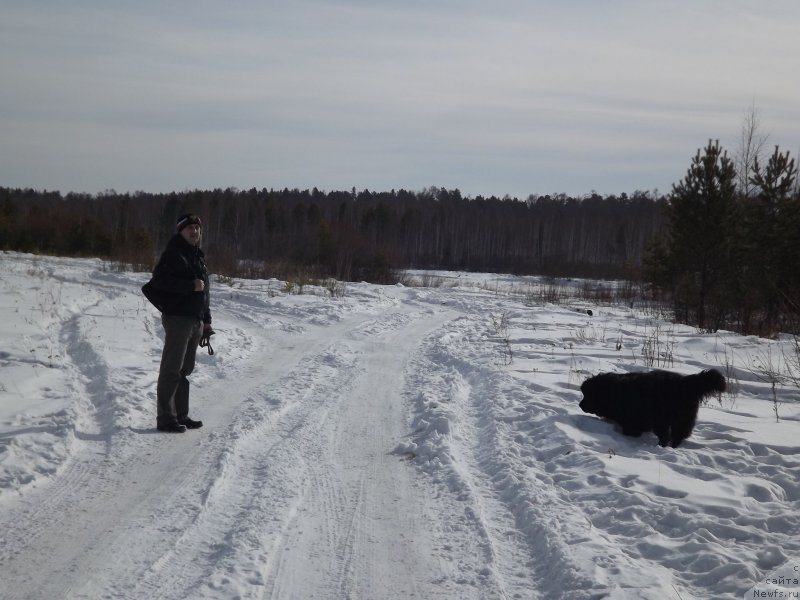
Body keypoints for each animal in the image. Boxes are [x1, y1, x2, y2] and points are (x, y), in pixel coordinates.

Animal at [580, 368, 724, 448]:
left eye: (587, 395)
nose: (580, 405)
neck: (610, 391)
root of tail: (685, 383)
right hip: (682, 419)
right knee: (679, 434)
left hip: (664, 420)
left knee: (667, 436)